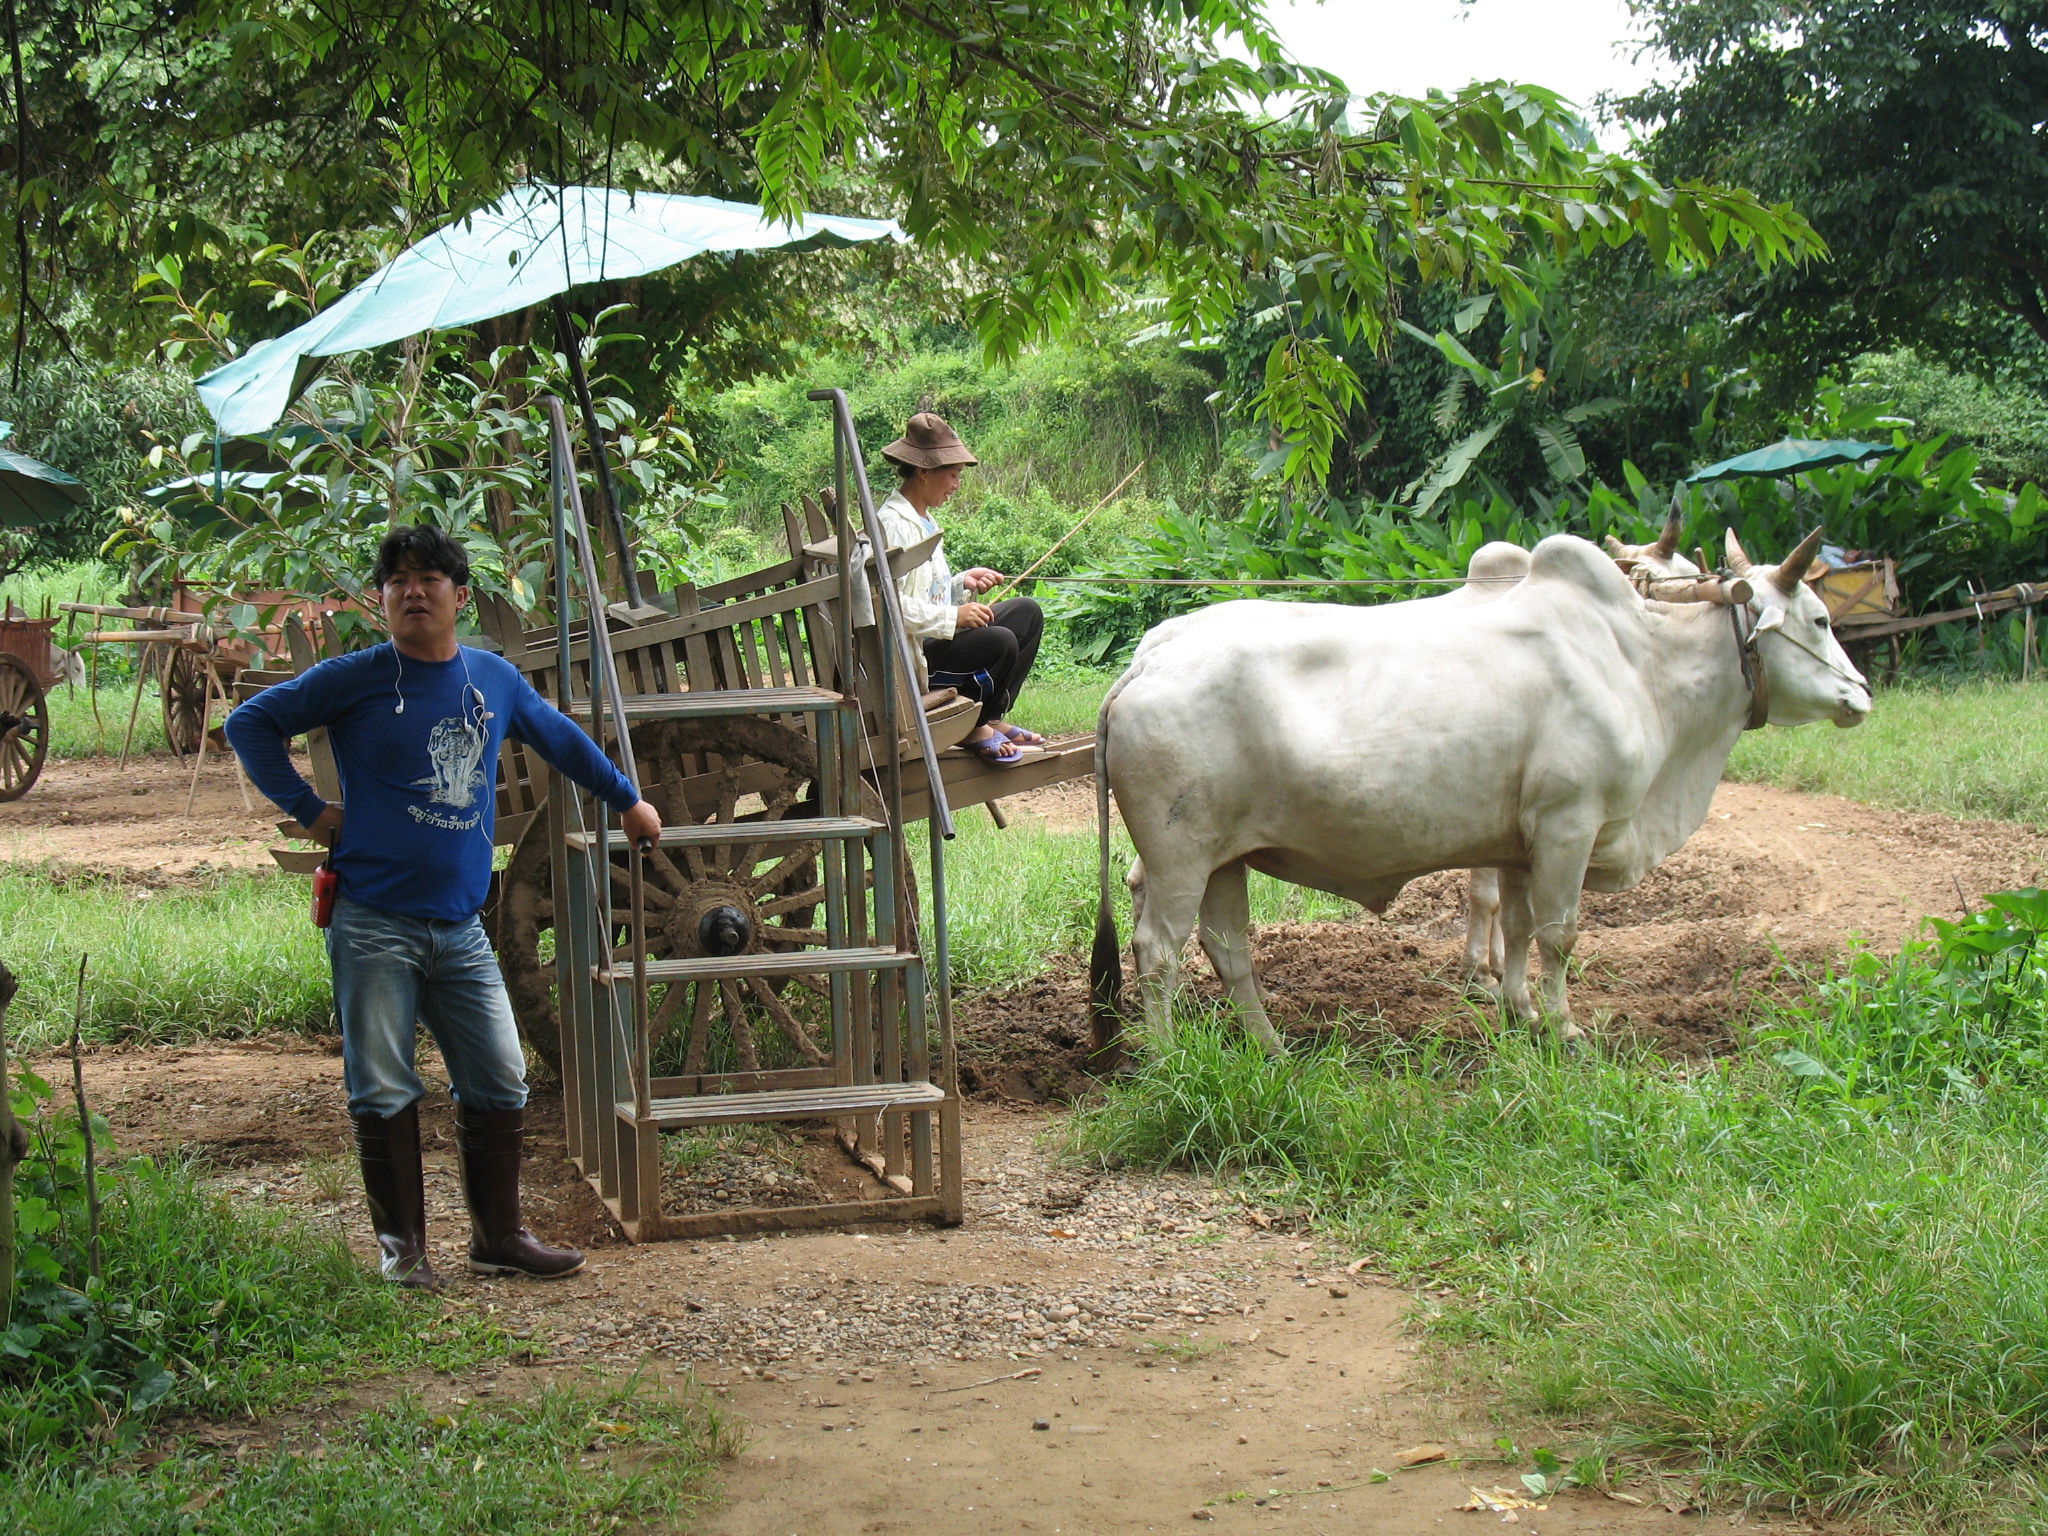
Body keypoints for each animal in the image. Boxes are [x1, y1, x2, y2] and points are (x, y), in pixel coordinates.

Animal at [1089, 532, 1875, 1056]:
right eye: (1820, 620)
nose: (1861, 694)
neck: (1638, 665)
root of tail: (1144, 665)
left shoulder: (1522, 845)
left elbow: (1519, 928)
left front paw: (1518, 1012)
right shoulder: (1569, 826)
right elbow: (1560, 935)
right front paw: (1565, 1028)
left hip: (1224, 857)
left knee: (1228, 951)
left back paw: (1272, 1051)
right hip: (1182, 855)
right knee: (1157, 949)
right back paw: (1168, 1058)